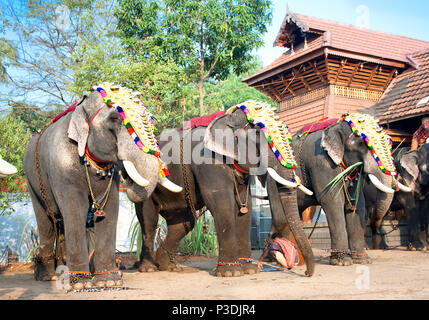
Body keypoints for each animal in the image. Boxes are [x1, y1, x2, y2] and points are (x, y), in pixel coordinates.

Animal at [23, 83, 181, 290]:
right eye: (114, 119)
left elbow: (110, 209)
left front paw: (109, 280)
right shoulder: (62, 167)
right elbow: (75, 209)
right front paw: (81, 284)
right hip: (32, 180)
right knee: (46, 222)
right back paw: (47, 276)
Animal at [130, 101, 314, 276]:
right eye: (260, 137)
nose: (306, 273)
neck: (228, 117)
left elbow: (244, 208)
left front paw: (249, 270)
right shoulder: (207, 160)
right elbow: (222, 203)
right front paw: (231, 272)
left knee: (184, 223)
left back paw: (168, 266)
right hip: (143, 183)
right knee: (150, 220)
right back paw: (149, 268)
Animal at [268, 114, 408, 266]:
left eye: (390, 142)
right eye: (362, 144)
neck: (338, 125)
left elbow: (357, 203)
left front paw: (362, 260)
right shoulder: (322, 162)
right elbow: (333, 201)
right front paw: (342, 261)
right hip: (274, 181)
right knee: (281, 217)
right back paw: (279, 258)